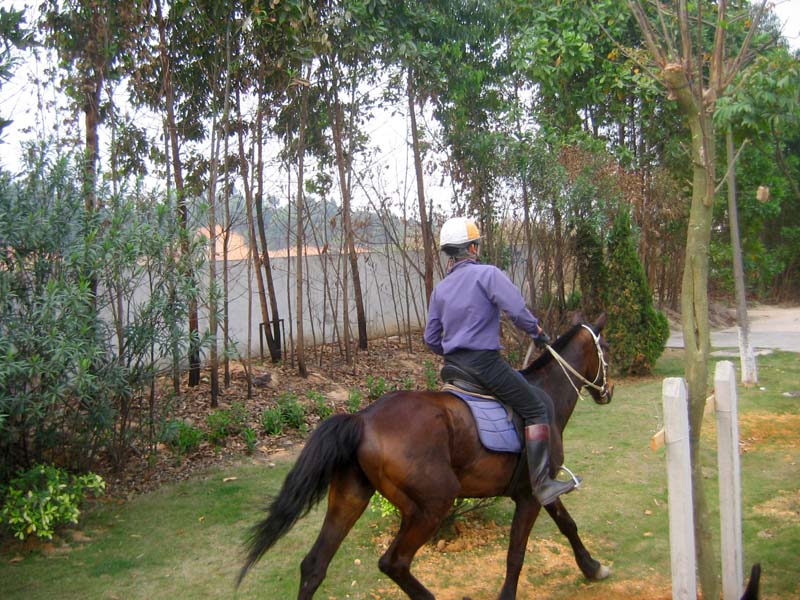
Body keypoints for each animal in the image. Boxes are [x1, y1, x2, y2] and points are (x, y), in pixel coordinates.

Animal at [238, 313, 613, 599]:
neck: (545, 393)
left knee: (315, 565)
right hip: (432, 506)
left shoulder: (540, 491)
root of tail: (362, 419)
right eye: (605, 349)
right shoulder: (530, 496)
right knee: (394, 562)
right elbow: (516, 555)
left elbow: (567, 525)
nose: (607, 392)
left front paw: (592, 568)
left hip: (350, 498)